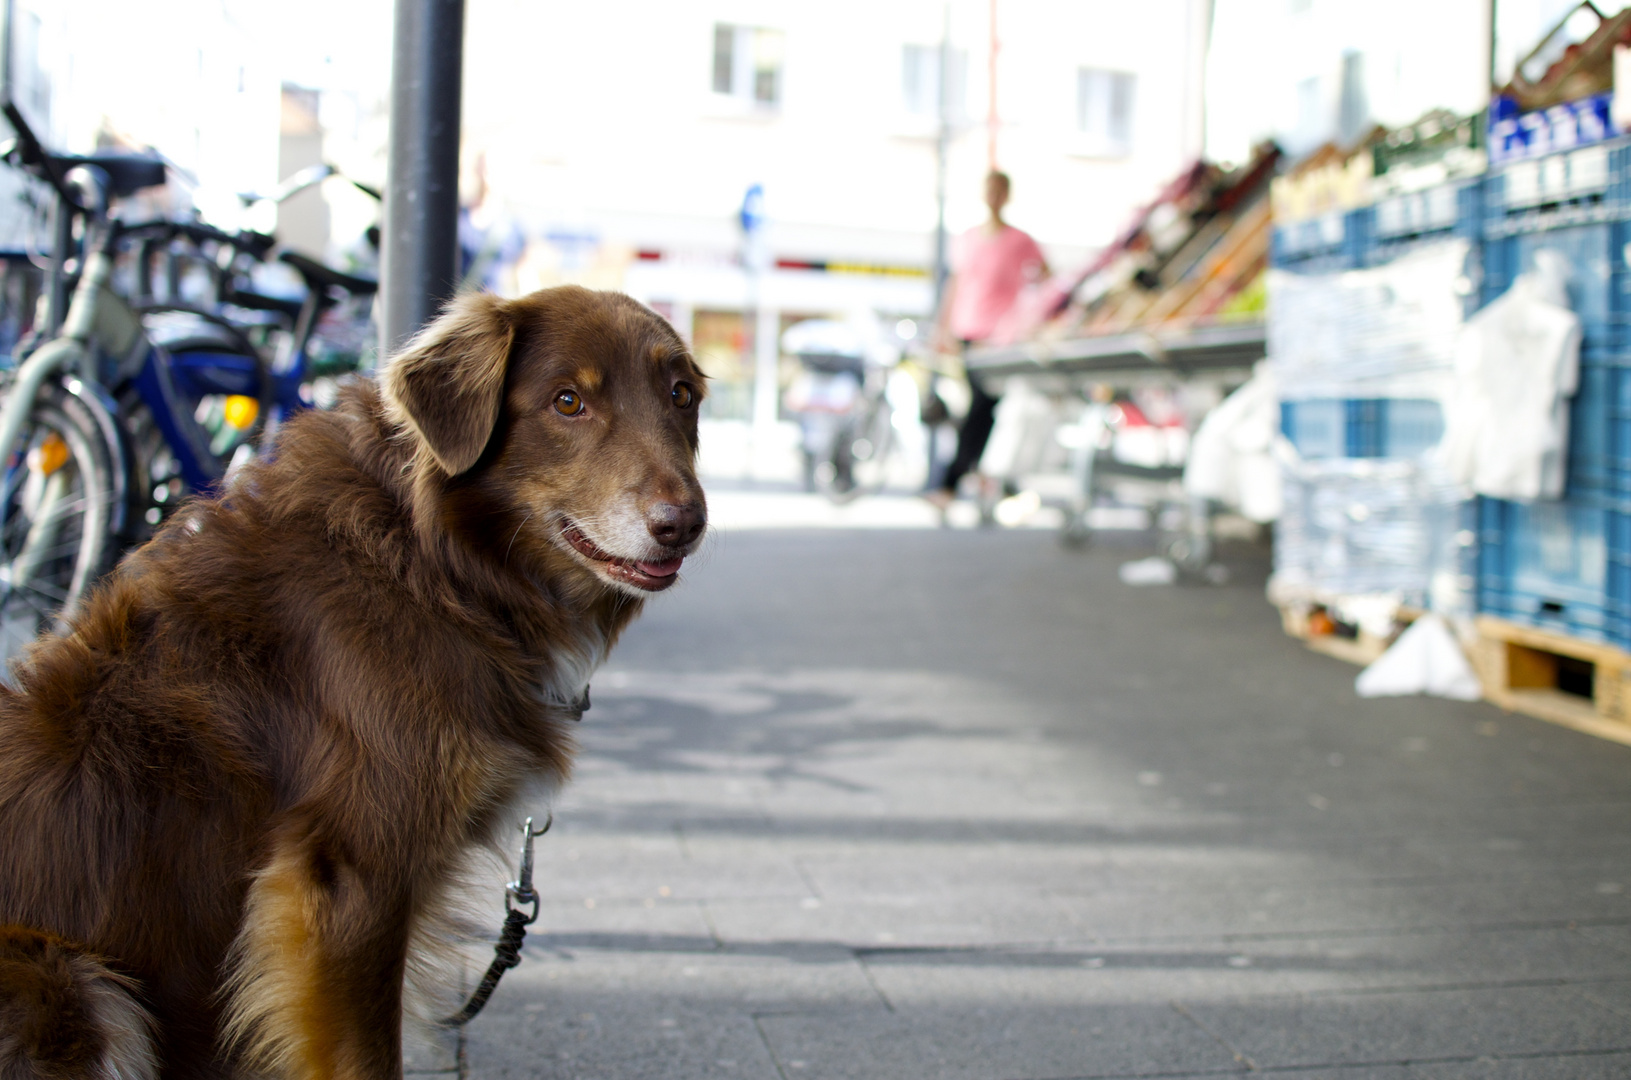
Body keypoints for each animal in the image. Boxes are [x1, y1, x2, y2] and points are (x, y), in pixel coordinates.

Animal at [0, 287, 707, 1080]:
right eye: (567, 402)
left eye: (681, 395)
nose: (685, 524)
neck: (440, 569)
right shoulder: (348, 882)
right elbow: (366, 1057)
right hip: (70, 980)